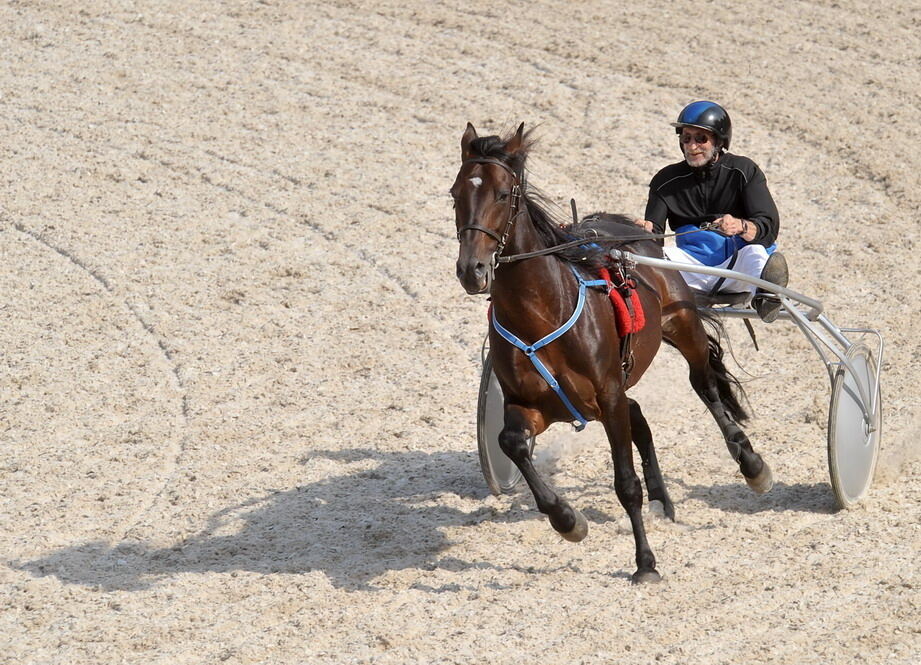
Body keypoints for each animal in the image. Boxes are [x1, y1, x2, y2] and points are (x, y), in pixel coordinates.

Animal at [452, 123, 768, 580]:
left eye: (502, 193)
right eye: (455, 192)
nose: (471, 270)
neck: (543, 312)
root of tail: (632, 228)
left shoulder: (607, 395)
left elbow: (625, 483)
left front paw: (645, 563)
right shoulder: (530, 404)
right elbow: (511, 442)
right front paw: (568, 520)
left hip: (683, 325)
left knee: (705, 385)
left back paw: (752, 464)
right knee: (640, 415)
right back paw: (662, 499)